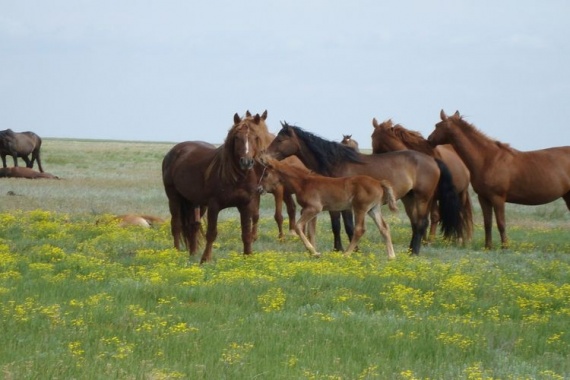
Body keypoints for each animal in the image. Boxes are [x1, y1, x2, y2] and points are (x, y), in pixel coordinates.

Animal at [160, 111, 266, 262]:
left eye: (255, 137)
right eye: (237, 137)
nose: (246, 162)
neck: (237, 177)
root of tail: (174, 151)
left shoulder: (245, 204)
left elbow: (246, 233)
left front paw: (248, 257)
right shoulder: (214, 205)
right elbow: (211, 233)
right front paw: (205, 259)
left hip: (196, 202)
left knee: (193, 226)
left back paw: (193, 253)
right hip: (174, 198)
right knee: (176, 225)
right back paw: (176, 252)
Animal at [256, 157, 394, 258]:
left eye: (266, 174)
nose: (259, 189)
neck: (304, 182)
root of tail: (378, 182)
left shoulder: (313, 208)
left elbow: (298, 226)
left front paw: (313, 251)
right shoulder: (312, 212)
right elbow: (311, 232)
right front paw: (314, 252)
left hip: (360, 208)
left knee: (360, 229)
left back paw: (346, 254)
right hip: (373, 209)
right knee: (384, 227)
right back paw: (391, 256)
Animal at [426, 110, 568, 251]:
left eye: (437, 125)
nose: (429, 140)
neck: (489, 159)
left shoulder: (498, 198)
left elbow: (501, 223)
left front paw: (505, 247)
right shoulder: (483, 198)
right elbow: (487, 223)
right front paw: (488, 246)